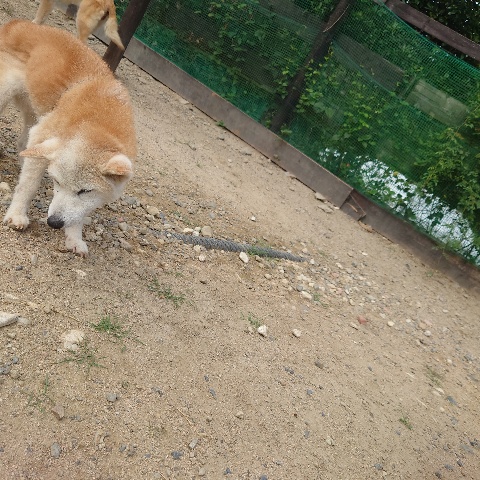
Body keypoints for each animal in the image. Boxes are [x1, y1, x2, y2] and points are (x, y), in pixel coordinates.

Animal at [0, 19, 136, 256]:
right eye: (56, 182)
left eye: (85, 190)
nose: (54, 222)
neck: (99, 121)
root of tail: (18, 23)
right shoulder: (44, 135)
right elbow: (28, 186)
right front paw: (17, 215)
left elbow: (79, 212)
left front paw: (74, 238)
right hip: (6, 93)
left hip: (35, 113)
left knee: (23, 144)